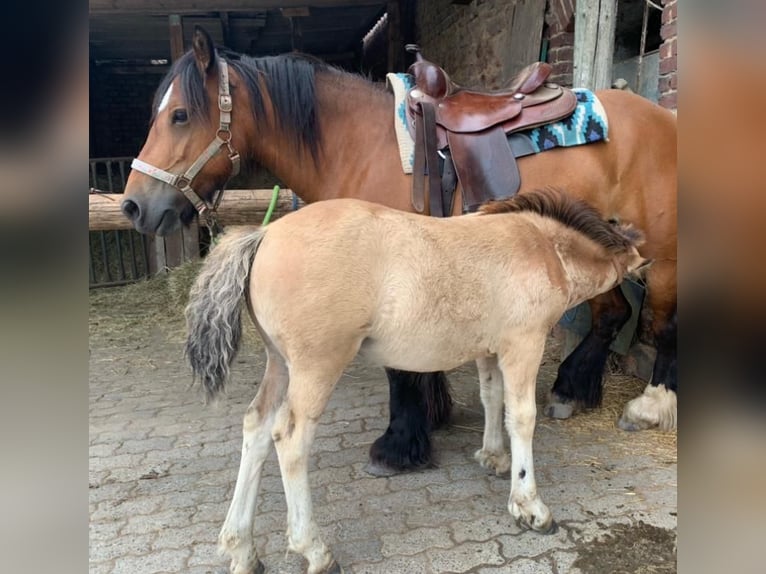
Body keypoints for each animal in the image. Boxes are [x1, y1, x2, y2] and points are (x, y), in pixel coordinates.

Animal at [121, 27, 680, 474]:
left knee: (662, 323)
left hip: (665, 257)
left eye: (179, 115)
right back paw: (571, 389)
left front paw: (400, 444)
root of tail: (661, 116)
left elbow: (400, 367)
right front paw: (430, 419)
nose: (133, 205)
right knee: (612, 313)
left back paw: (649, 407)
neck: (359, 146)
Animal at [184, 190, 648, 574]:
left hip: (279, 363)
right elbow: (522, 417)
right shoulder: (524, 344)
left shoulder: (488, 349)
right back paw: (315, 551)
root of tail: (264, 233)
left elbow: (492, 398)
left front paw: (493, 457)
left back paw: (242, 550)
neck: (542, 247)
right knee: (290, 439)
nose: (642, 288)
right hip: (317, 366)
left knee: (257, 427)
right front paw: (529, 506)